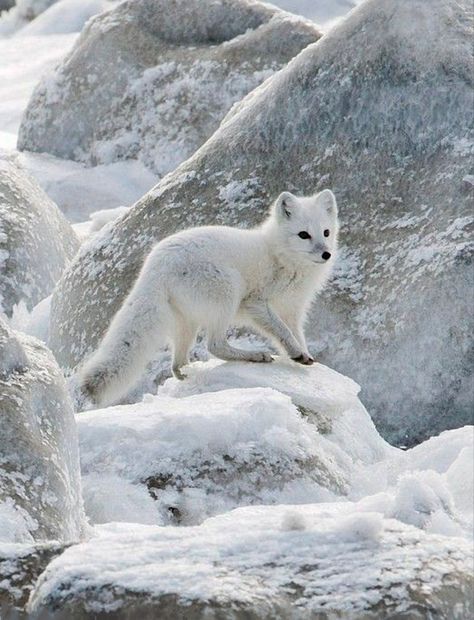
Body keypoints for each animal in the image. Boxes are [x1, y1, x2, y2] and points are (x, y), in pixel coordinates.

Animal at [78, 188, 336, 406]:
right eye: (303, 235)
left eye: (326, 232)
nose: (327, 254)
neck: (281, 257)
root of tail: (155, 265)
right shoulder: (255, 302)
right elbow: (282, 331)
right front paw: (297, 354)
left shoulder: (293, 309)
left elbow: (295, 334)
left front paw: (304, 357)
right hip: (228, 293)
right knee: (214, 345)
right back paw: (254, 356)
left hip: (186, 323)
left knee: (177, 365)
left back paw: (191, 379)